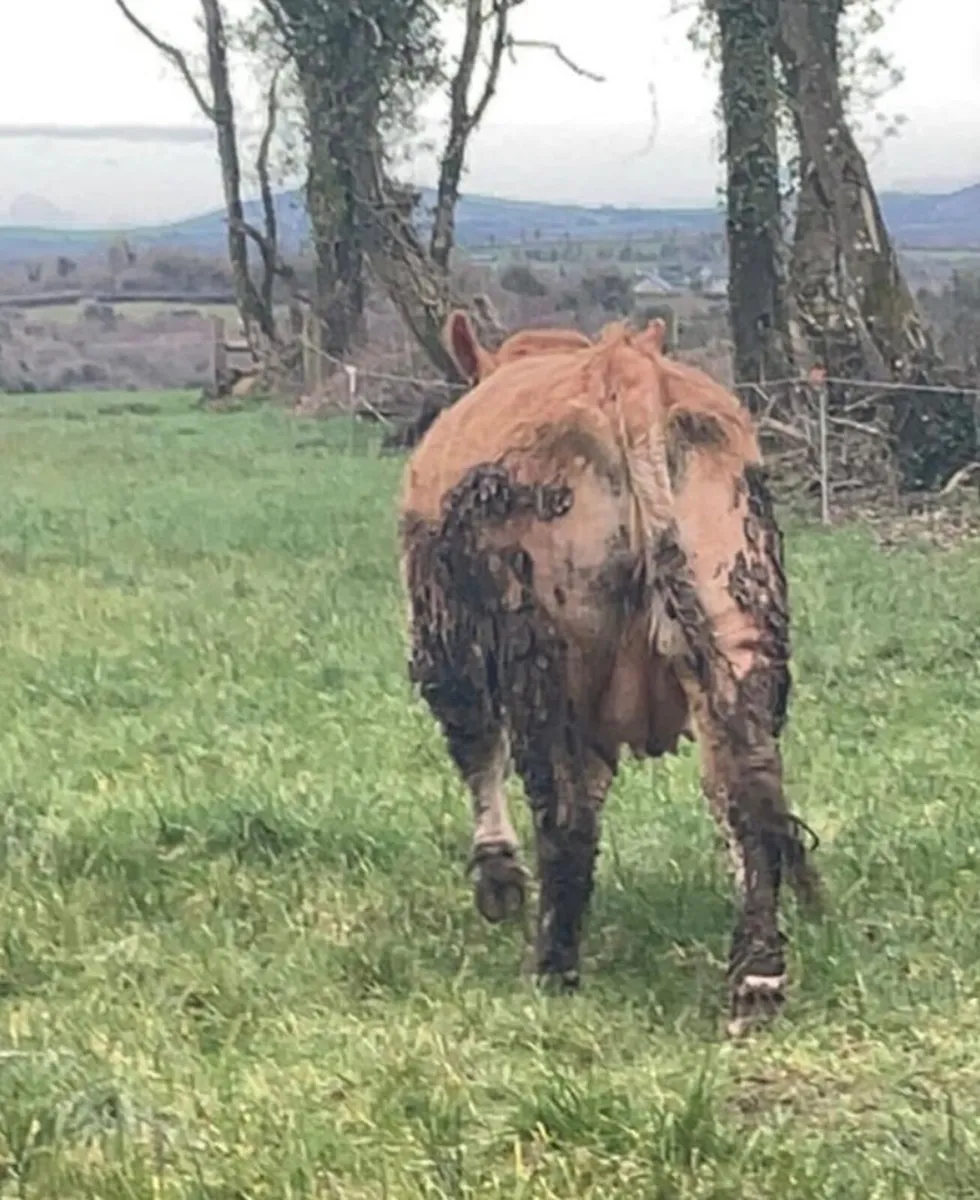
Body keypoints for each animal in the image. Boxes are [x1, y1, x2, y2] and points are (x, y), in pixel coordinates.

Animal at [398, 311, 822, 1035]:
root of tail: (624, 367)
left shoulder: (443, 646)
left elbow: (476, 751)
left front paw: (497, 878)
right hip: (736, 614)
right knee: (746, 784)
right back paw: (757, 978)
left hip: (546, 651)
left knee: (564, 807)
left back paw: (554, 966)